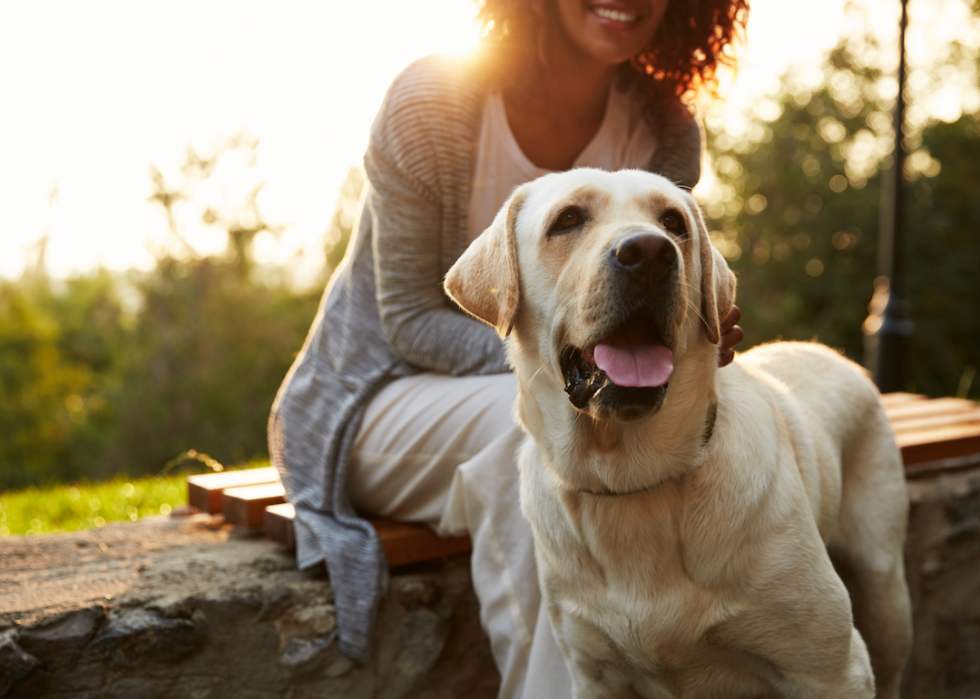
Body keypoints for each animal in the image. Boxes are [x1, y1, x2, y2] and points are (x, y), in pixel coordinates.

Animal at [444, 171, 912, 699]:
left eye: (673, 222)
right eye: (567, 219)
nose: (649, 253)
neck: (629, 480)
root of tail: (832, 353)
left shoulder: (829, 669)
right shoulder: (594, 674)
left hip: (884, 590)